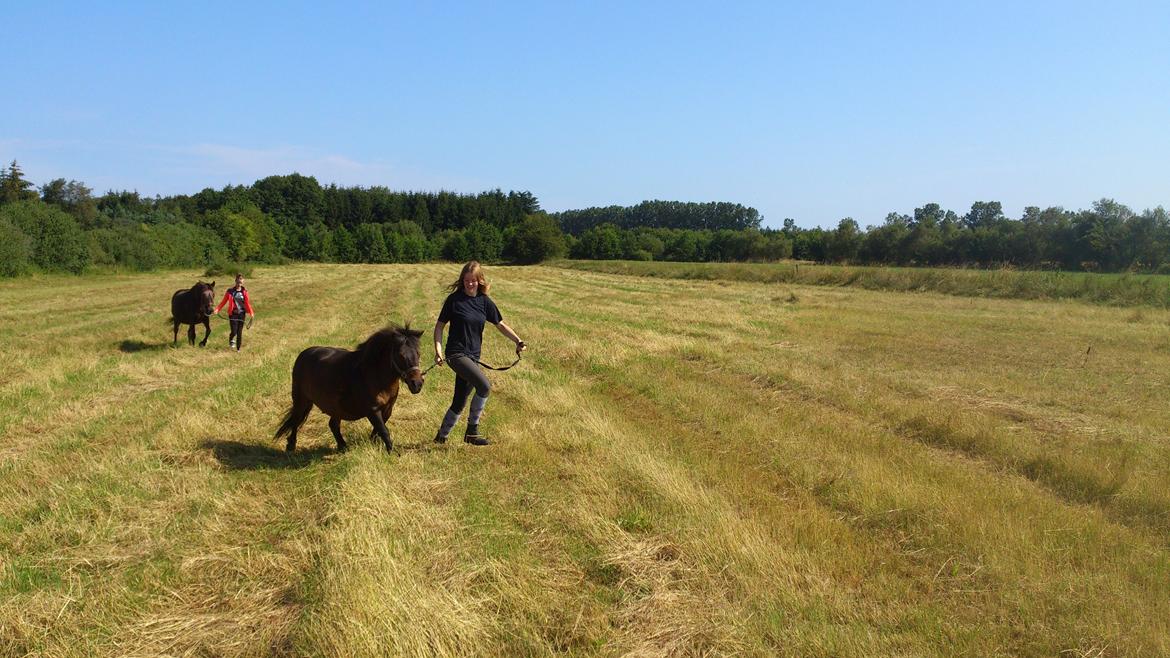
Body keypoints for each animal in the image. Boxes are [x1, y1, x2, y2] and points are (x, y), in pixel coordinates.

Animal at [273, 323, 425, 449]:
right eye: (400, 355)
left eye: (418, 353)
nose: (417, 383)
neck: (373, 375)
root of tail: (303, 354)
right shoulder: (373, 410)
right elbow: (384, 431)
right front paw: (392, 453)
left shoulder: (388, 409)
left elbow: (378, 431)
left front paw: (374, 445)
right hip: (301, 400)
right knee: (296, 420)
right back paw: (291, 446)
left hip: (335, 407)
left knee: (333, 425)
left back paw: (342, 446)